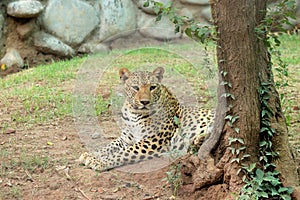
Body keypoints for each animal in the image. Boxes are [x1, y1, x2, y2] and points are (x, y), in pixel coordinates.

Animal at [78, 67, 213, 172]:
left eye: (152, 87)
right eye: (135, 87)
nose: (145, 102)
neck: (133, 113)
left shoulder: (152, 142)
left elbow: (123, 153)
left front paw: (99, 162)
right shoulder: (126, 139)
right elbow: (108, 146)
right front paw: (89, 154)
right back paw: (198, 141)